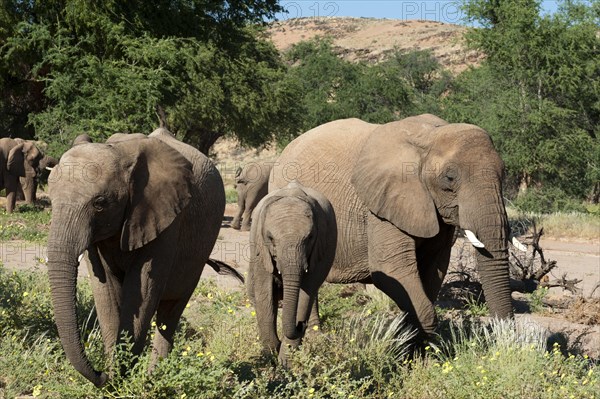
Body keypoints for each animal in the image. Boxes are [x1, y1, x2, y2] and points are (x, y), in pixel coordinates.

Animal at [46, 129, 241, 388]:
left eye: (100, 203)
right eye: (50, 200)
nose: (100, 373)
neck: (120, 152)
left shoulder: (165, 220)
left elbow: (143, 289)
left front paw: (121, 379)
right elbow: (105, 291)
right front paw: (114, 378)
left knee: (170, 314)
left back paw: (155, 377)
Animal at [246, 181, 336, 366]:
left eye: (310, 237)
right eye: (270, 238)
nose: (300, 324)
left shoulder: (319, 250)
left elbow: (305, 295)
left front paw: (285, 363)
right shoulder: (260, 247)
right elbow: (265, 293)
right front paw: (270, 356)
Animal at [272, 114, 516, 340]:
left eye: (504, 173)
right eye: (449, 178)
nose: (504, 334)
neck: (430, 136)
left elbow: (432, 270)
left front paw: (412, 345)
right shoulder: (381, 207)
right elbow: (392, 269)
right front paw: (423, 349)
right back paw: (314, 338)